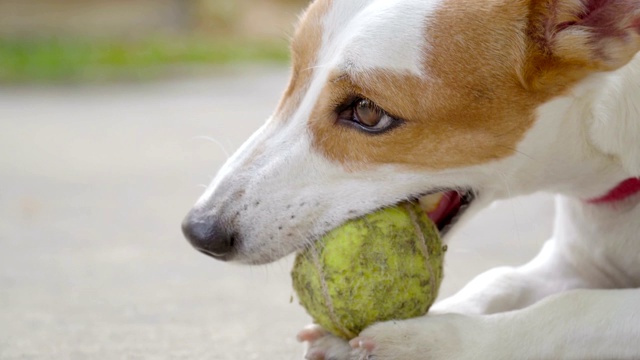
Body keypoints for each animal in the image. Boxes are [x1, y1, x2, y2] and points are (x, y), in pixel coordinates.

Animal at [180, 1, 640, 358]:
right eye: (294, 77)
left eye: (368, 112)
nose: (199, 232)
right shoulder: (571, 262)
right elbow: (500, 280)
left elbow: (572, 307)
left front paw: (434, 340)